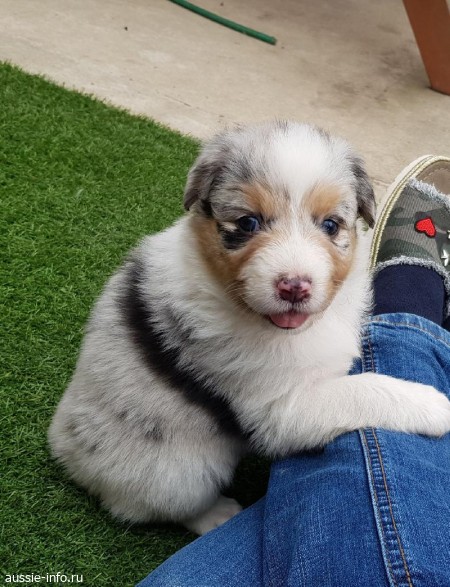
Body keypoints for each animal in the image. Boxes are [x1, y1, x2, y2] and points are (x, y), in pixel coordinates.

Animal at [48, 121, 450, 535]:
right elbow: (362, 390)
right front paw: (432, 404)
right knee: (156, 506)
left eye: (330, 225)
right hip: (181, 471)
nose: (294, 287)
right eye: (247, 223)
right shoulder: (280, 409)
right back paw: (218, 514)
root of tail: (64, 450)